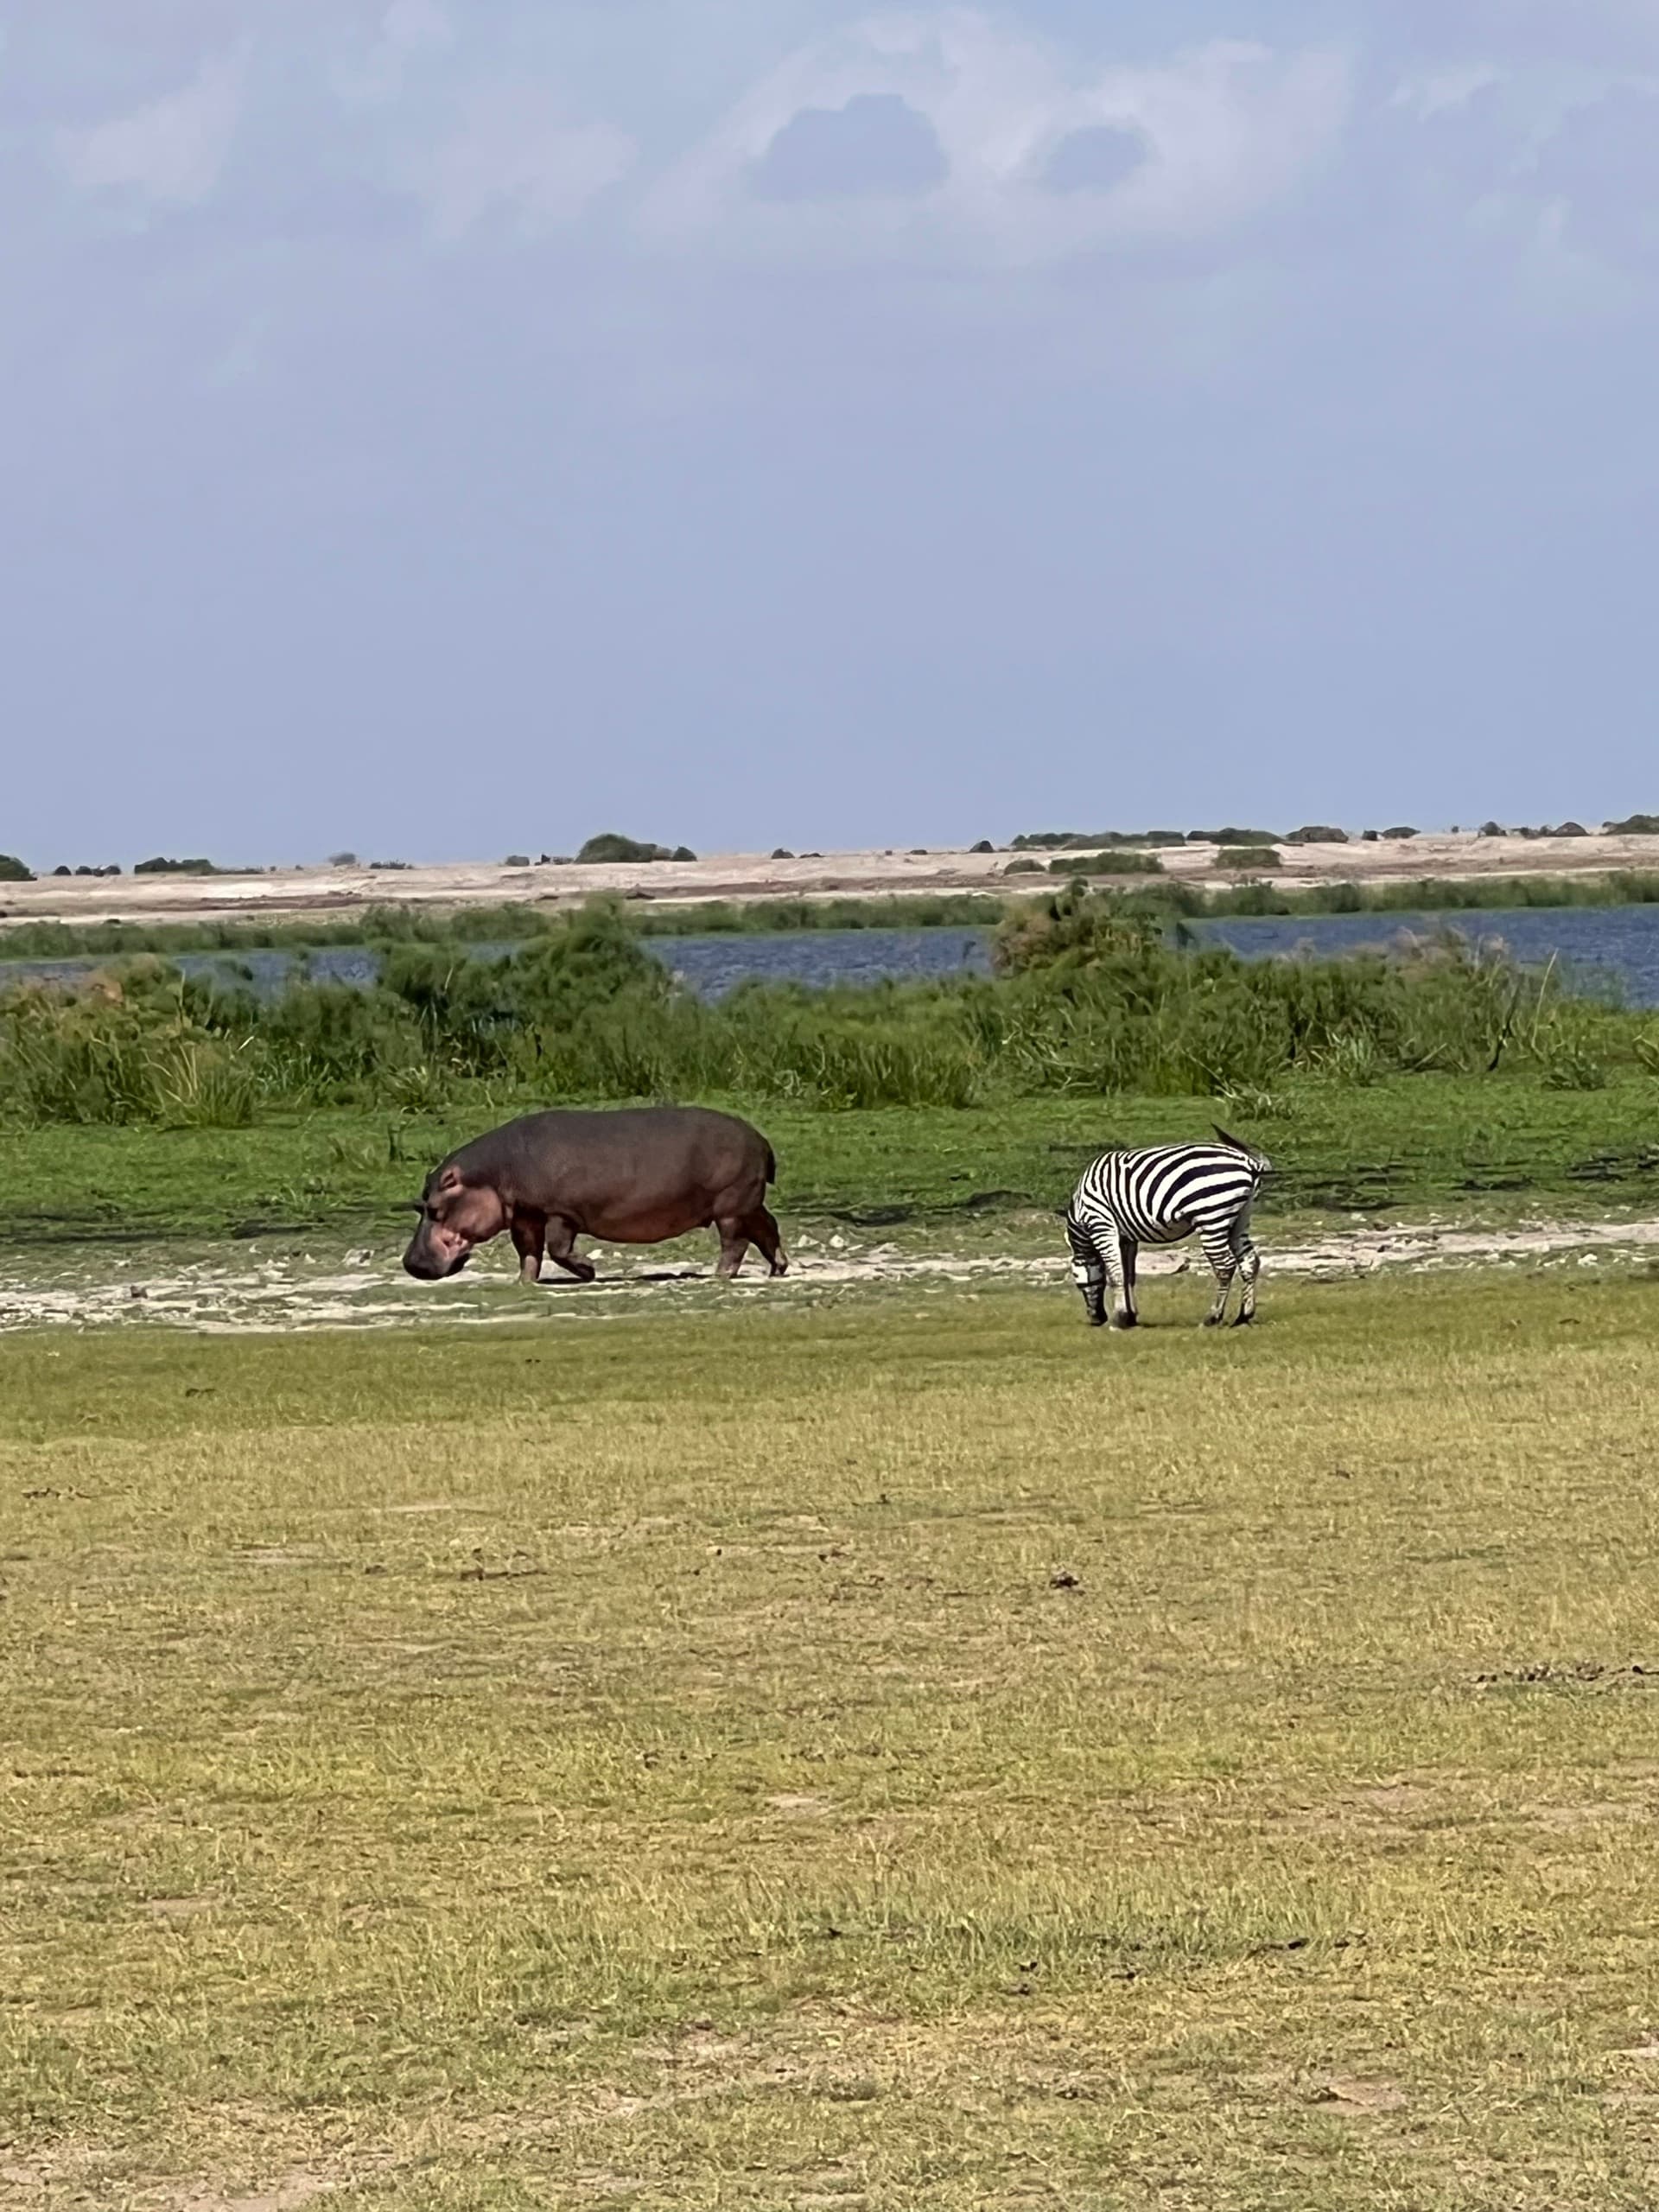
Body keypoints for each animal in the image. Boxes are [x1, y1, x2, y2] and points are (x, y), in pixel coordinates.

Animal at [401, 1105, 786, 1286]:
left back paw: (719, 1275)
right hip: (749, 1203)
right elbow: (529, 1252)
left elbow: (557, 1248)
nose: (411, 1264)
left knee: (734, 1242)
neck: (493, 1173)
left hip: (730, 1207)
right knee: (768, 1228)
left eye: (433, 1208)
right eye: (418, 1205)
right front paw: (524, 1282)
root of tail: (761, 1139)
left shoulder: (560, 1213)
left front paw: (588, 1270)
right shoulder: (526, 1214)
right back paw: (777, 1269)